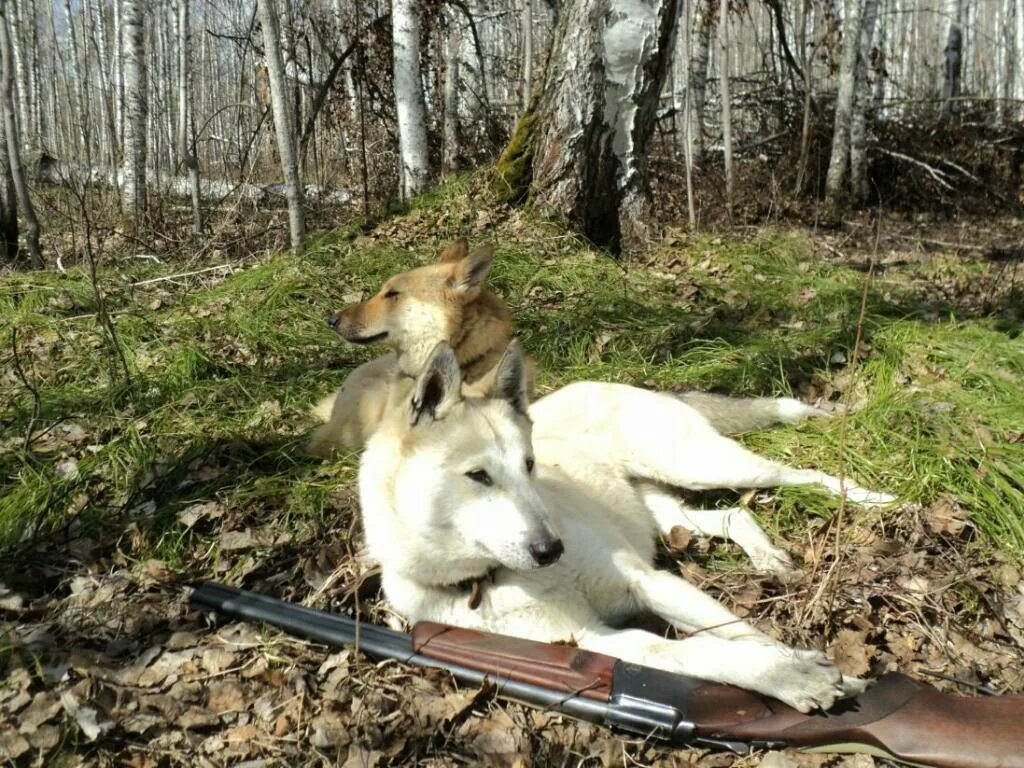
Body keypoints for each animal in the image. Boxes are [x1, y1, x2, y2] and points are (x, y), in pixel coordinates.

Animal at [360, 342, 872, 716]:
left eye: (529, 466)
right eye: (478, 476)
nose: (553, 550)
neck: (497, 576)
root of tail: (615, 382)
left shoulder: (644, 581)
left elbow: (742, 633)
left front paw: (801, 670)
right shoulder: (594, 641)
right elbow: (696, 652)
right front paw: (790, 676)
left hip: (699, 465)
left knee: (797, 475)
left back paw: (874, 499)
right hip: (663, 512)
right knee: (733, 516)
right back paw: (766, 556)